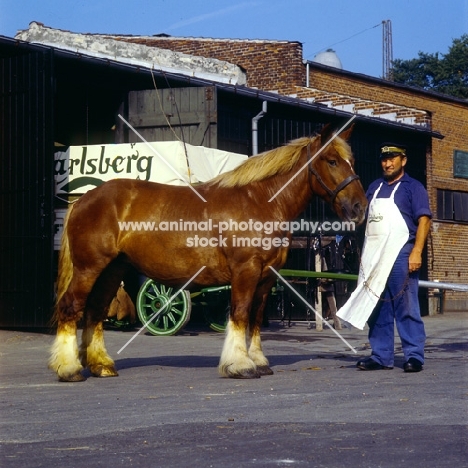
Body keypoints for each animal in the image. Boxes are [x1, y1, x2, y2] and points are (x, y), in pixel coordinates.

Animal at [49, 123, 368, 380]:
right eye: (331, 161)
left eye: (351, 161)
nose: (359, 208)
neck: (260, 202)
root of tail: (85, 199)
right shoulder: (246, 271)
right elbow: (240, 314)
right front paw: (240, 365)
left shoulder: (267, 277)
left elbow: (255, 319)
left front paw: (259, 361)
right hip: (89, 268)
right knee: (71, 307)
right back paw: (69, 368)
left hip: (112, 270)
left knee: (95, 311)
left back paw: (101, 365)